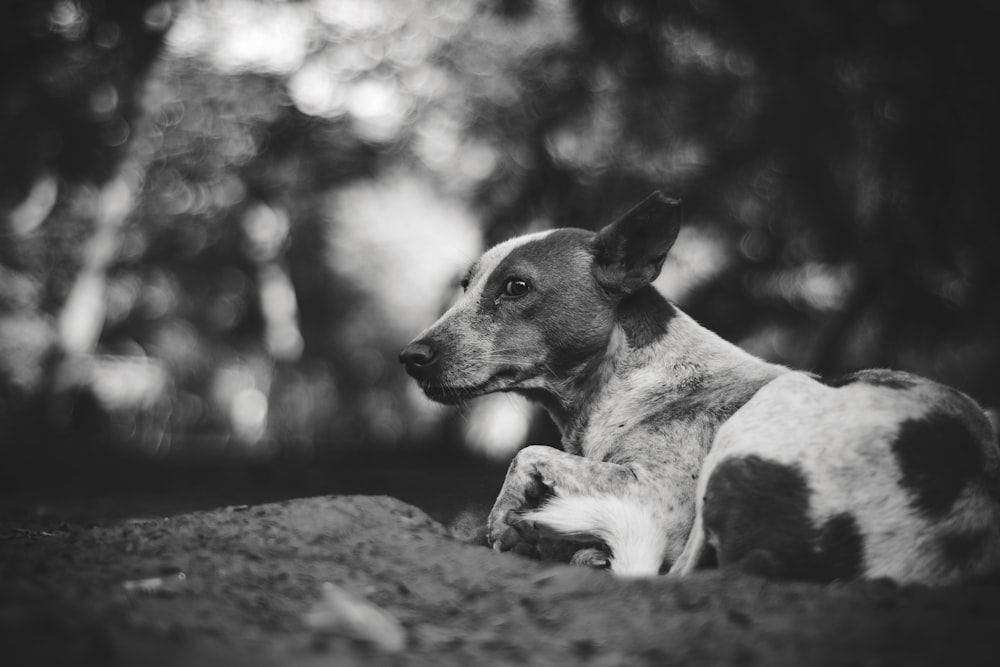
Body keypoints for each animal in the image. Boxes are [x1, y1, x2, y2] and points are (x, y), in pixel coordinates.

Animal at [398, 190, 1000, 580]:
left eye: (516, 287)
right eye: (466, 285)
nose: (410, 356)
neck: (630, 378)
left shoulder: (655, 496)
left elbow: (526, 454)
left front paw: (507, 522)